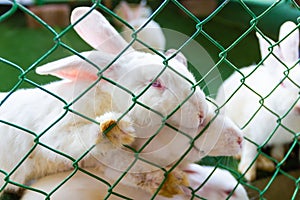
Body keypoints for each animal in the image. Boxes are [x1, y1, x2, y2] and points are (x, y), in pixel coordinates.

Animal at [0, 5, 241, 197]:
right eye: (155, 84)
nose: (200, 113)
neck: (108, 100)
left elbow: (129, 165)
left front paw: (172, 180)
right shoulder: (55, 132)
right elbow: (75, 139)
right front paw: (113, 128)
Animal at [217, 20, 298, 181]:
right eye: (282, 83)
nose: (299, 107)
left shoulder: (281, 139)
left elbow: (278, 148)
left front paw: (279, 159)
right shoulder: (250, 134)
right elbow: (250, 153)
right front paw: (248, 173)